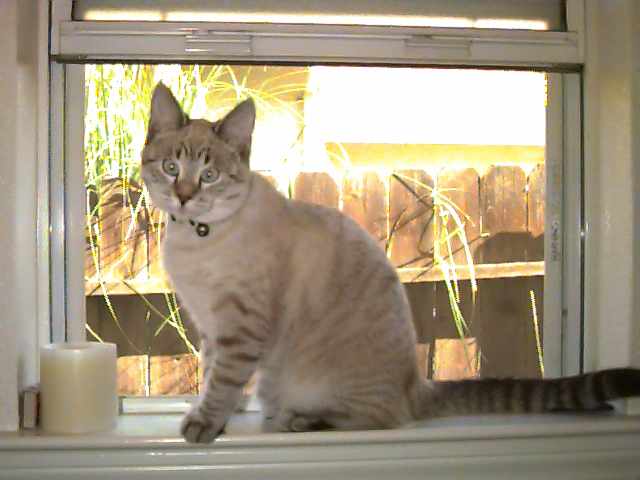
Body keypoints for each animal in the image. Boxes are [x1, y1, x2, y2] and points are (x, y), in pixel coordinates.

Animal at [141, 82, 640, 444]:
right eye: (171, 167)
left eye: (209, 176)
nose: (183, 196)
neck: (196, 237)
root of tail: (417, 385)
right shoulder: (211, 327)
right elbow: (212, 376)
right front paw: (211, 417)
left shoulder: (239, 327)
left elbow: (222, 383)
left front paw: (202, 426)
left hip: (327, 387)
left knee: (379, 419)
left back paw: (299, 420)